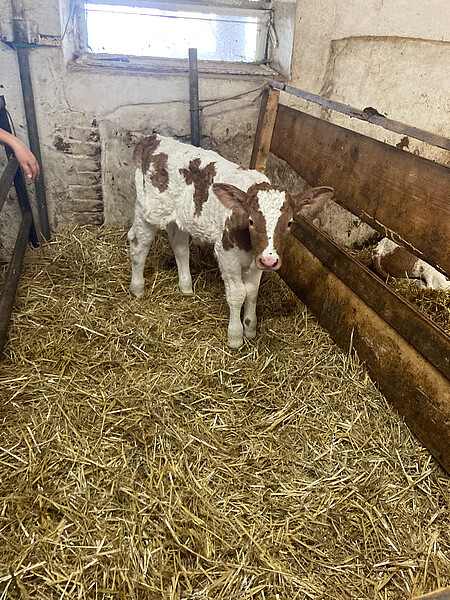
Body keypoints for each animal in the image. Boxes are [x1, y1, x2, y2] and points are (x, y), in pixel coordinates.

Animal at [128, 131, 332, 346]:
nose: (270, 260)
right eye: (251, 221)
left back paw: (186, 287)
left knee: (180, 246)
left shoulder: (257, 257)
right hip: (149, 210)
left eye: (290, 223)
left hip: (179, 216)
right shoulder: (227, 254)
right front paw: (235, 336)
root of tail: (152, 139)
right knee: (138, 243)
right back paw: (137, 288)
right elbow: (238, 293)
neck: (249, 246)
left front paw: (250, 328)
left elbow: (252, 291)